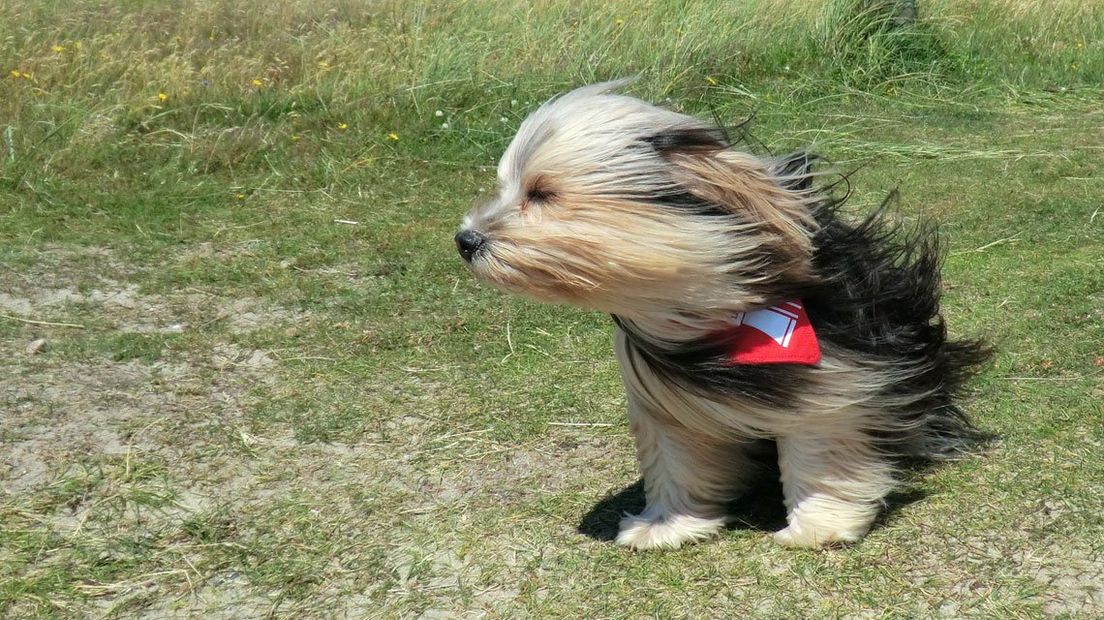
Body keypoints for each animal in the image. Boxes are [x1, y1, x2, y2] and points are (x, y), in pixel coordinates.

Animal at [452, 79, 989, 547]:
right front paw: (667, 525)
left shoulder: (839, 380)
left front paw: (818, 525)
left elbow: (820, 449)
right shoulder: (665, 405)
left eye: (541, 193)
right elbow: (677, 461)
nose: (465, 240)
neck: (709, 307)